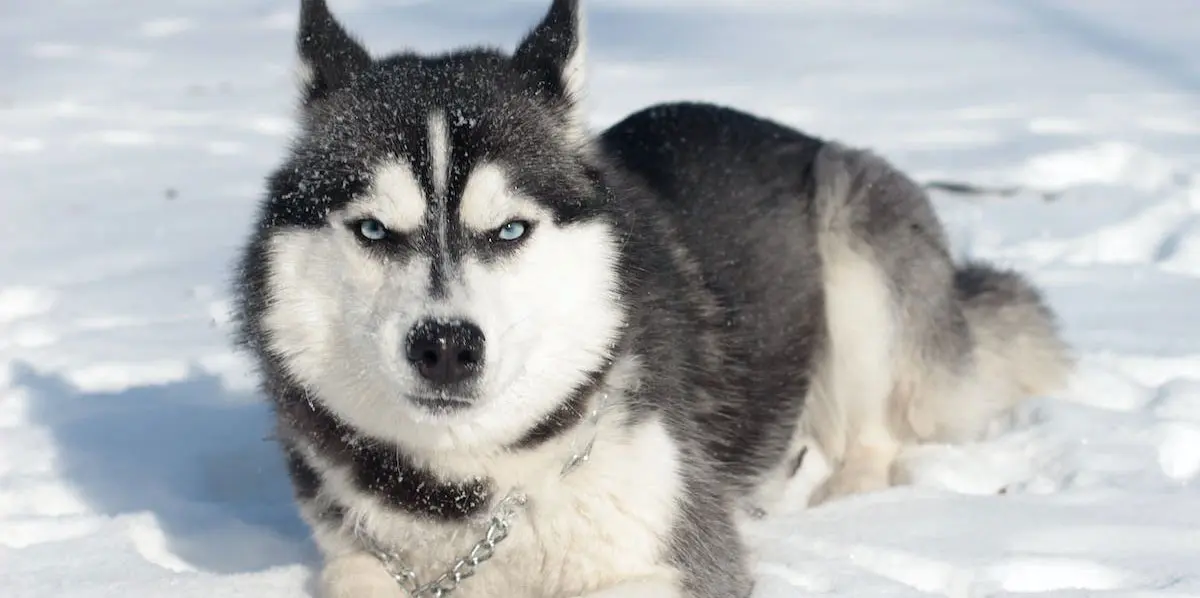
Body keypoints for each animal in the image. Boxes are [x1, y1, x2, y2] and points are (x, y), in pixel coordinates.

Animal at [229, 2, 1075, 595]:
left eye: (510, 229)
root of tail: (793, 133)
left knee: (874, 438)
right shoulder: (361, 557)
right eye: (373, 229)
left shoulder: (681, 558)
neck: (475, 489)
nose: (444, 346)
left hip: (853, 236)